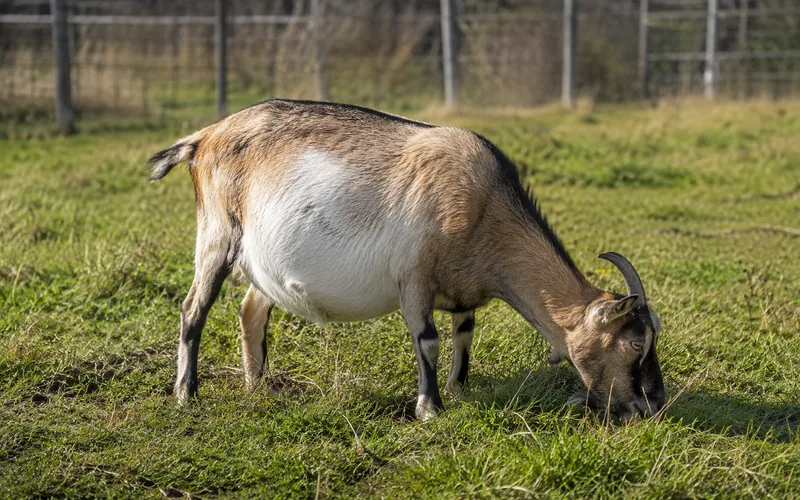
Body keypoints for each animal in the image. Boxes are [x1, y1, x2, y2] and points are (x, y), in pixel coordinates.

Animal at [148, 99, 665, 421]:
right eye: (635, 344)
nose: (652, 407)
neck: (484, 204)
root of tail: (205, 137)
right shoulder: (414, 277)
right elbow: (429, 341)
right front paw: (429, 408)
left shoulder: (462, 291)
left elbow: (463, 337)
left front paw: (458, 390)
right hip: (217, 233)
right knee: (193, 309)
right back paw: (186, 394)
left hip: (264, 263)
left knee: (251, 311)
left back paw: (258, 385)